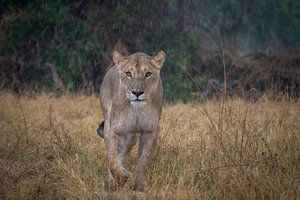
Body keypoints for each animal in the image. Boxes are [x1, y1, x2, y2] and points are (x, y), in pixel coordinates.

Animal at [97, 50, 165, 191]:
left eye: (148, 74)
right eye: (128, 73)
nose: (137, 93)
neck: (136, 110)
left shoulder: (150, 131)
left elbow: (144, 160)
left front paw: (139, 186)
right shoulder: (114, 130)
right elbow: (112, 158)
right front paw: (123, 177)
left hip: (132, 136)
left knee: (124, 152)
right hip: (109, 123)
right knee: (117, 153)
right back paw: (113, 181)